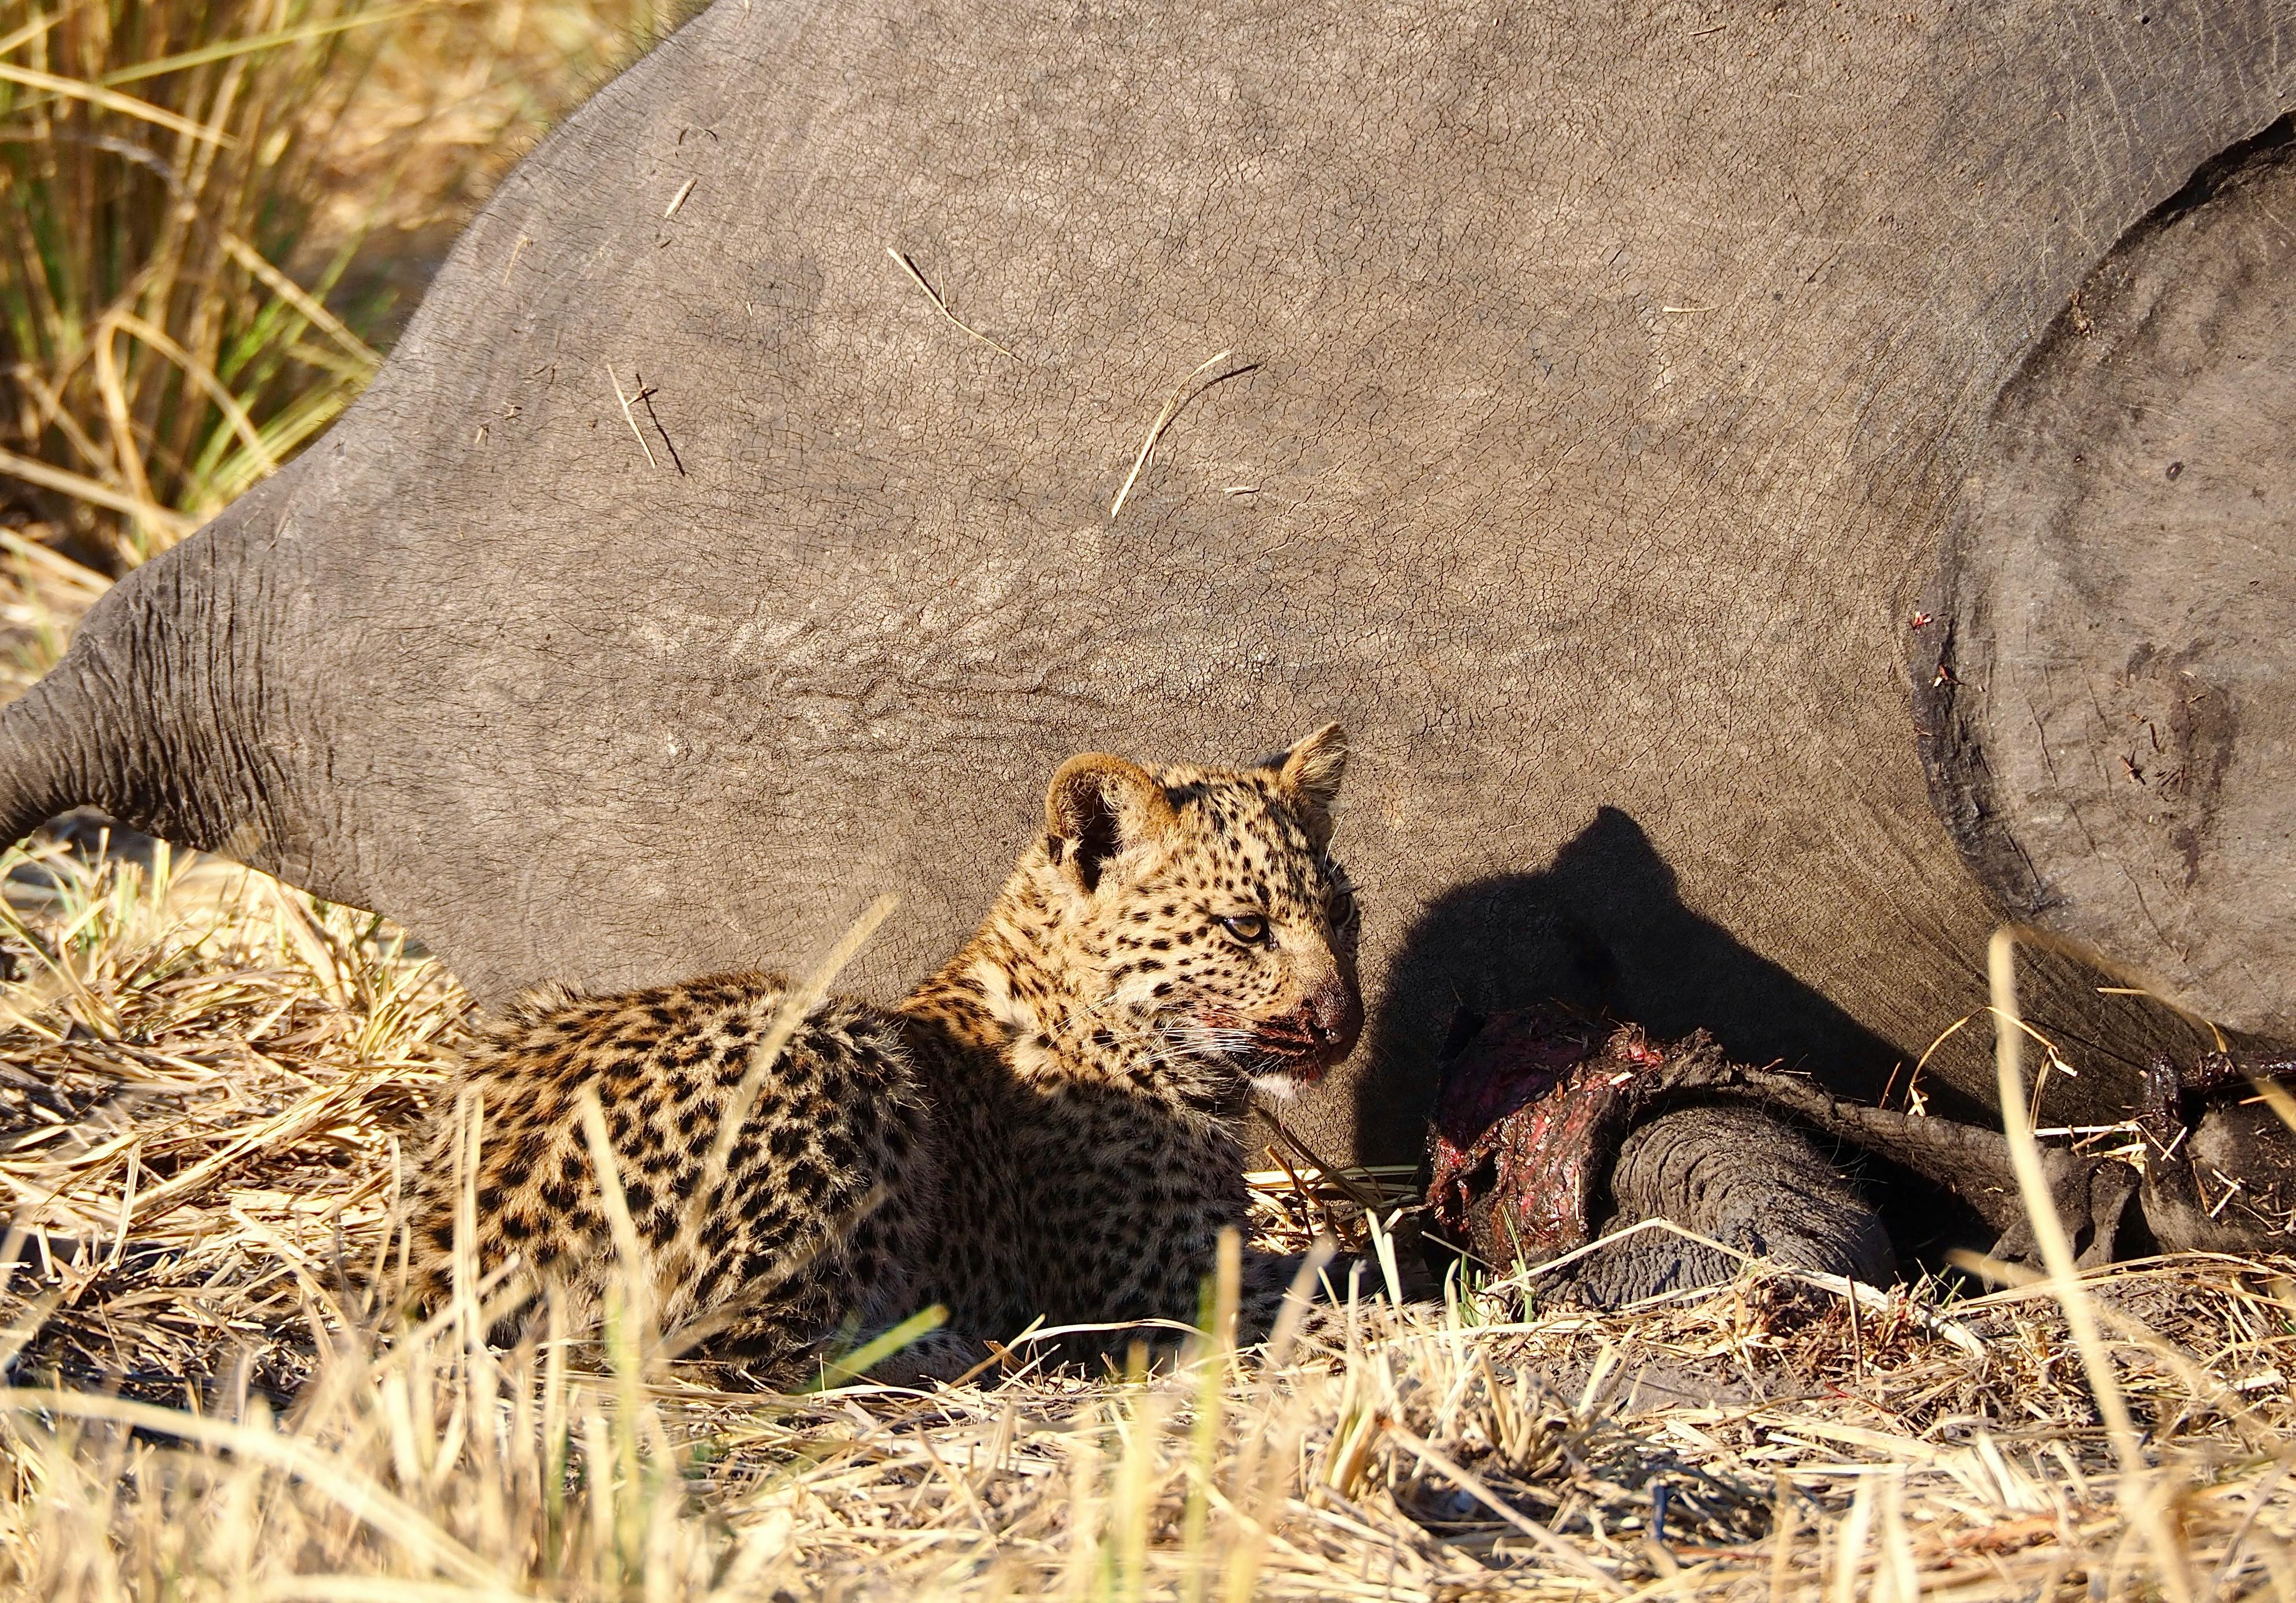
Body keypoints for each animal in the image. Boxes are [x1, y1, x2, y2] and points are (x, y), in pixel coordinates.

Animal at [400, 725, 1363, 1381]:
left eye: (1343, 917)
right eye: (1246, 927)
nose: (1342, 1022)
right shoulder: (1165, 1276)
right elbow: (1337, 1287)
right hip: (833, 1054)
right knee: (721, 1351)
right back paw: (962, 1351)